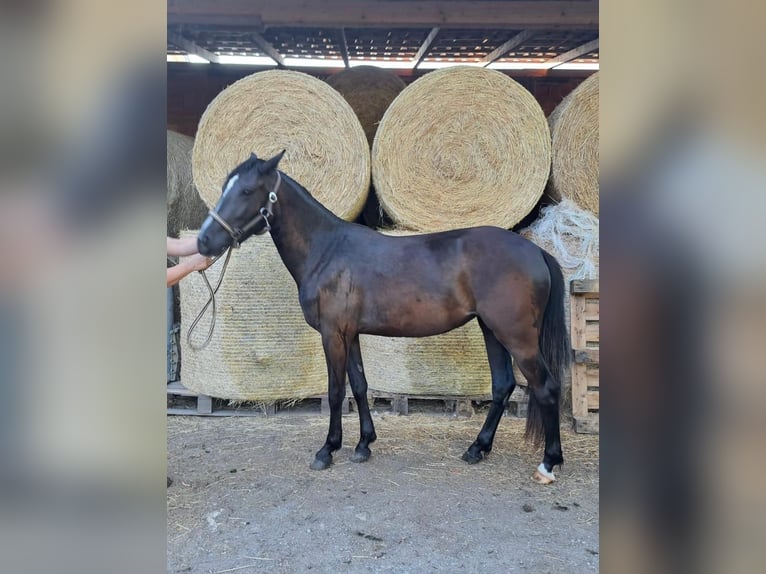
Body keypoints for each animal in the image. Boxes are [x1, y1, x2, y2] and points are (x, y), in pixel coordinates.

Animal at [198, 151, 568, 484]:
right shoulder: (350, 334)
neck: (327, 250)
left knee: (546, 387)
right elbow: (360, 386)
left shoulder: (332, 334)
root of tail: (536, 251)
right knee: (503, 385)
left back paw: (548, 463)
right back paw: (477, 448)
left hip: (517, 337)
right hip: (491, 330)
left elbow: (336, 391)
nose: (203, 241)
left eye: (247, 190)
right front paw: (364, 444)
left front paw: (327, 450)